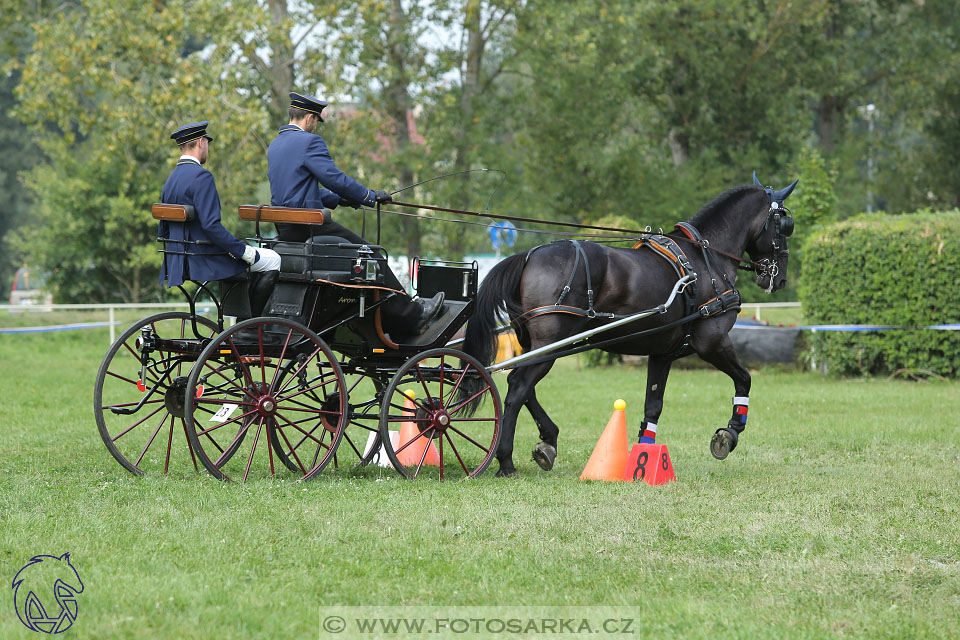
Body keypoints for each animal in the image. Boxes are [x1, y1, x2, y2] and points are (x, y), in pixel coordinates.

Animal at [460, 177, 798, 477]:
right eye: (785, 225)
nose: (779, 278)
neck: (705, 260)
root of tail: (529, 254)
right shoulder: (713, 342)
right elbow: (744, 380)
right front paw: (729, 433)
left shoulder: (663, 353)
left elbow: (653, 406)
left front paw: (644, 456)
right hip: (550, 343)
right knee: (518, 388)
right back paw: (506, 461)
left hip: (537, 344)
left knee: (519, 384)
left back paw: (548, 441)